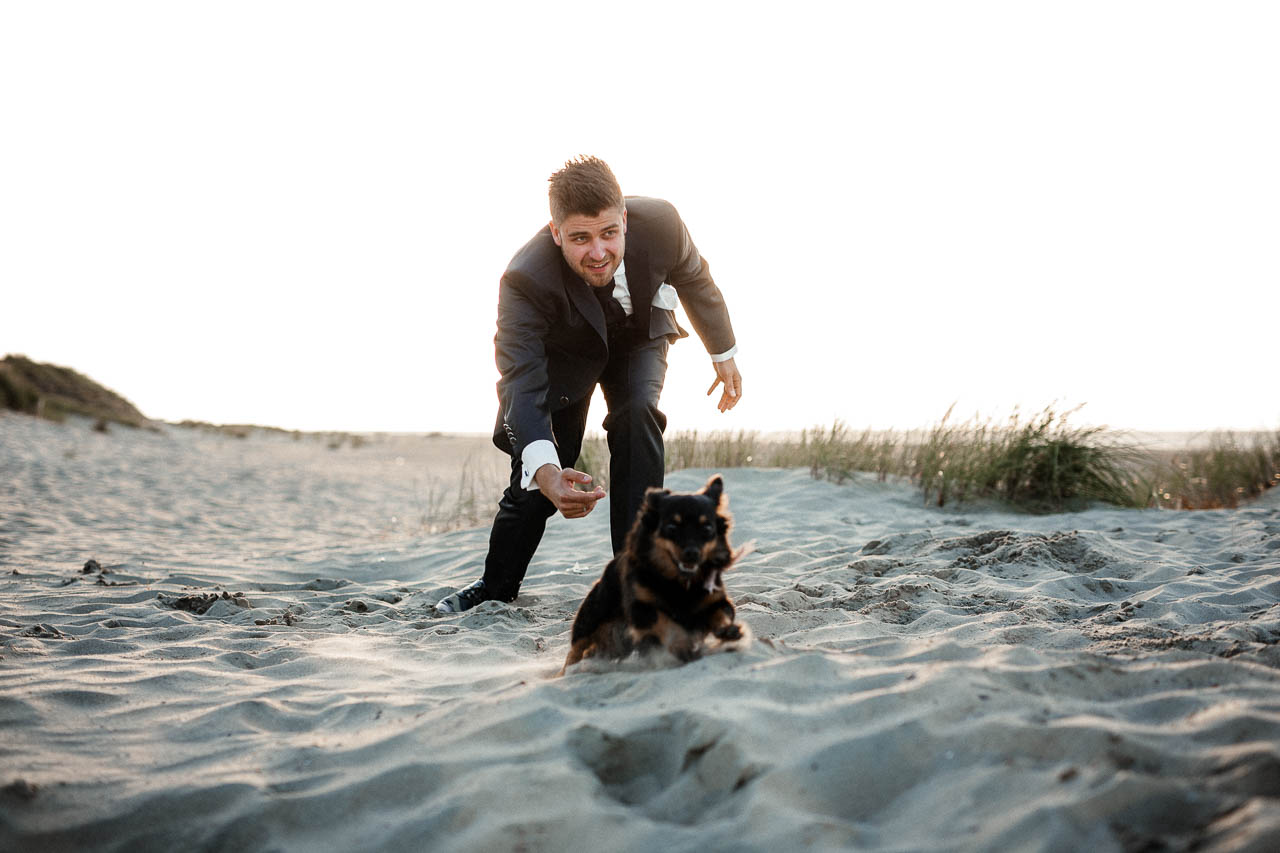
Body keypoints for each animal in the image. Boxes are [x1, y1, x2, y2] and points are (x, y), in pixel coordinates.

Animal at [558, 471, 747, 671]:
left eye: (707, 528)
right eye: (671, 528)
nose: (692, 553)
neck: (680, 581)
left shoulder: (715, 600)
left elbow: (722, 613)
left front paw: (728, 630)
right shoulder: (642, 609)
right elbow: (664, 622)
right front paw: (681, 644)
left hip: (617, 645)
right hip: (590, 621)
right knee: (575, 651)